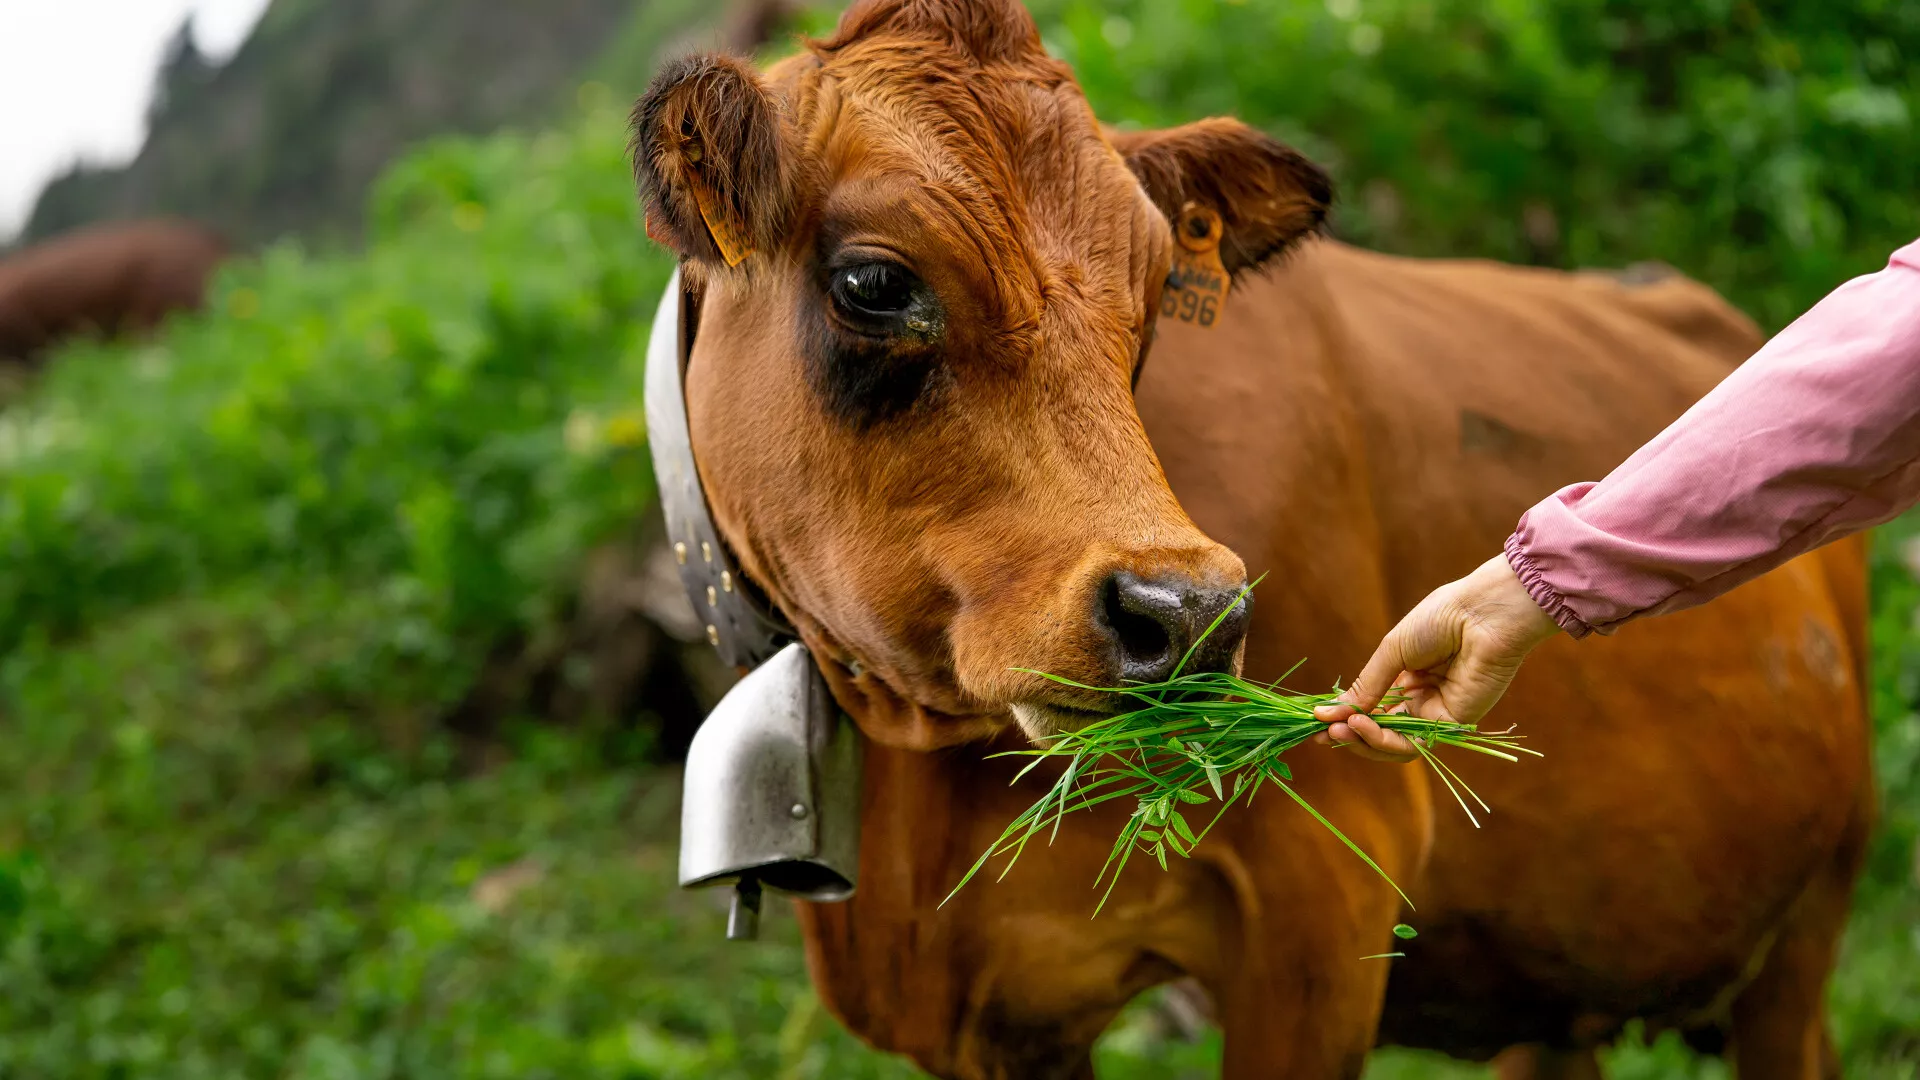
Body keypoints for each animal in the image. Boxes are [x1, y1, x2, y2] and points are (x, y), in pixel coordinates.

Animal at [627, 1, 1875, 1076]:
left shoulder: (1323, 898)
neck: (917, 794)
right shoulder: (995, 1006)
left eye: (1148, 305)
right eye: (875, 283)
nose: (1186, 616)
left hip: (1812, 918)